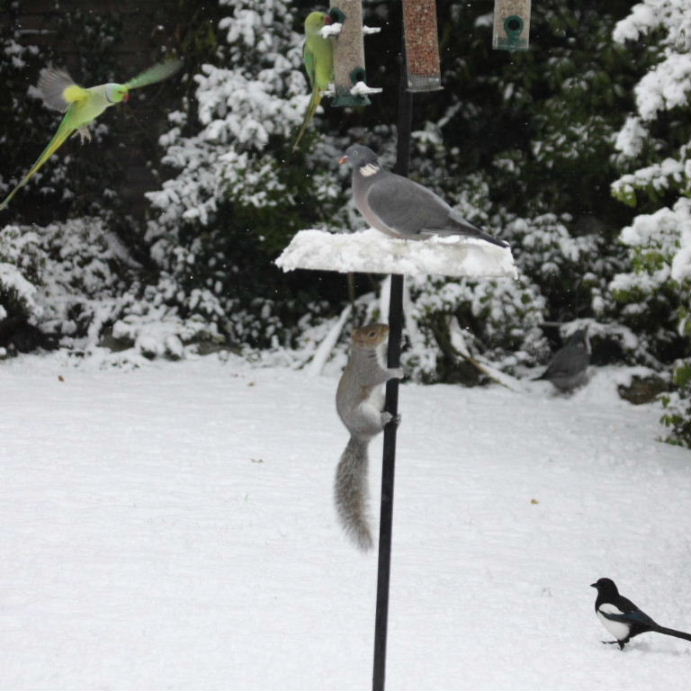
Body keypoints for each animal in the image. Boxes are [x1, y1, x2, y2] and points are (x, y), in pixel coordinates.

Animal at [334, 323, 404, 551]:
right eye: (372, 334)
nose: (388, 328)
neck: (362, 352)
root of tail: (359, 435)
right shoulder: (367, 372)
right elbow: (379, 376)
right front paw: (398, 371)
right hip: (365, 413)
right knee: (378, 427)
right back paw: (385, 420)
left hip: (380, 399)